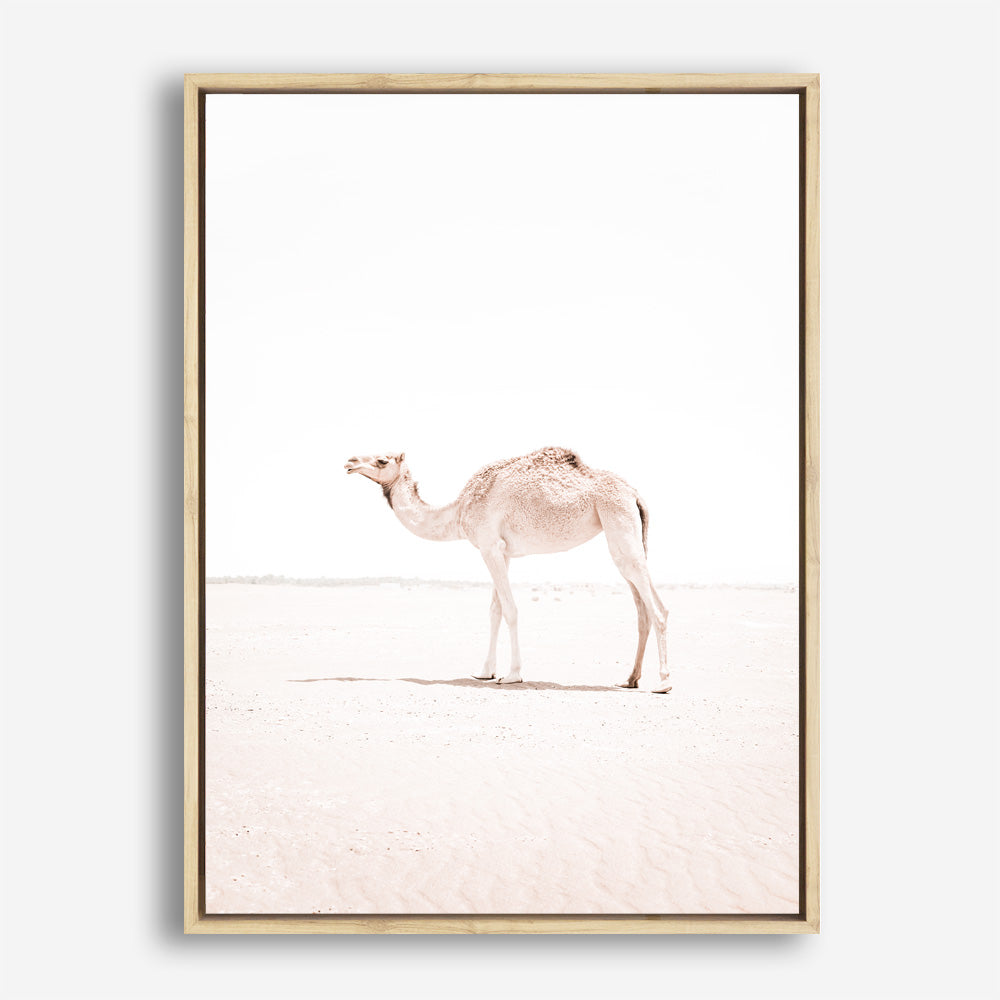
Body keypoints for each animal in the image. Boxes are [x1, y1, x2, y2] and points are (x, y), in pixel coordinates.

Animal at [344, 447, 671, 693]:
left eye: (382, 460)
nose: (349, 462)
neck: (459, 510)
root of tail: (635, 494)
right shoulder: (502, 551)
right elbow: (495, 610)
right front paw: (485, 671)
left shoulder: (489, 546)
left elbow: (510, 609)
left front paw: (513, 674)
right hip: (625, 532)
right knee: (642, 609)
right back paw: (630, 679)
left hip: (618, 522)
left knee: (657, 608)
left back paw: (663, 683)